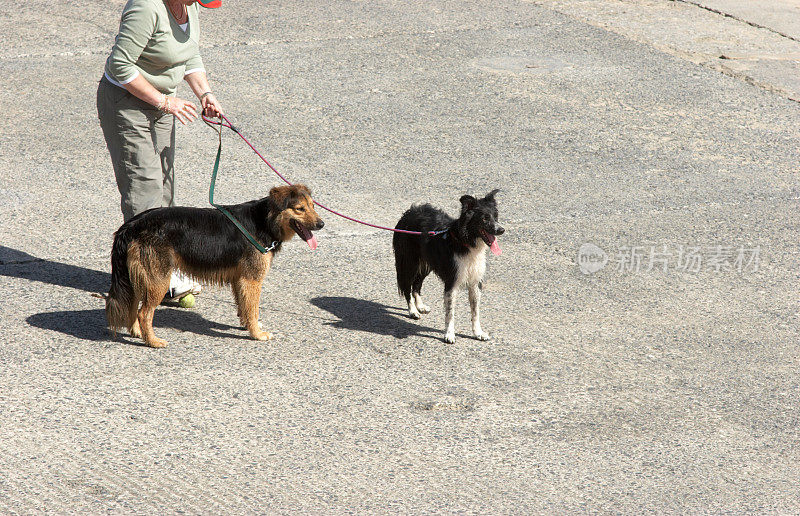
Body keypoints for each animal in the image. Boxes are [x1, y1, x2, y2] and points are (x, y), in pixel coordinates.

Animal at [106, 183, 324, 348]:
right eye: (300, 209)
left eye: (313, 206)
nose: (322, 224)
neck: (265, 221)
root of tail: (131, 226)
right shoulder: (252, 280)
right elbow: (253, 309)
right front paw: (257, 334)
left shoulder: (239, 279)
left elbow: (244, 307)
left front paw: (246, 326)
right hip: (158, 281)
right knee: (144, 313)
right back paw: (152, 341)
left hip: (138, 278)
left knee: (133, 307)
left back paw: (136, 332)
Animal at [392, 189, 504, 342]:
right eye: (485, 218)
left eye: (496, 216)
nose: (502, 230)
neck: (466, 241)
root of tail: (408, 213)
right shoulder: (452, 282)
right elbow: (450, 313)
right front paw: (449, 334)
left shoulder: (475, 282)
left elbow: (475, 312)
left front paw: (478, 333)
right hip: (409, 263)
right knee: (407, 287)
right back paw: (413, 310)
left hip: (425, 264)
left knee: (416, 285)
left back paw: (419, 306)